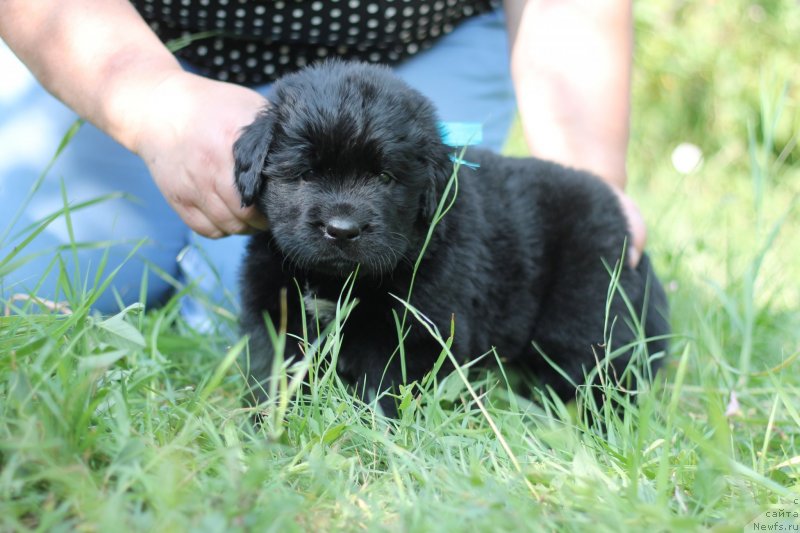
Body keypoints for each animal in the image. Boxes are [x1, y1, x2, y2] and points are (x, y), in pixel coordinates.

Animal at [233, 60, 668, 414]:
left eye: (385, 177)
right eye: (306, 173)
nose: (342, 229)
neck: (336, 282)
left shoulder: (417, 333)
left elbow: (385, 391)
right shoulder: (276, 315)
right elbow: (275, 377)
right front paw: (266, 424)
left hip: (588, 320)